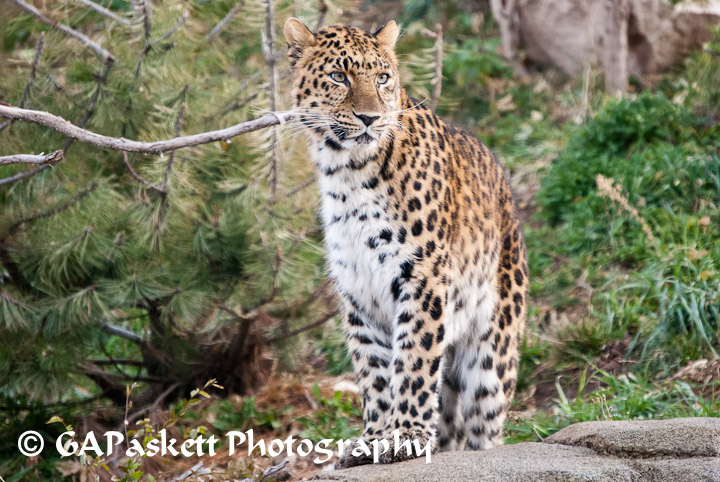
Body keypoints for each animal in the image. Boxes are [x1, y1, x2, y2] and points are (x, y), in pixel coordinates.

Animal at [283, 18, 528, 466]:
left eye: (382, 78)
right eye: (338, 76)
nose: (369, 117)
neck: (346, 174)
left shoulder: (422, 274)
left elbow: (414, 358)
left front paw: (406, 435)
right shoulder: (358, 289)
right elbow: (375, 372)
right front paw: (374, 438)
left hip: (492, 353)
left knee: (485, 427)